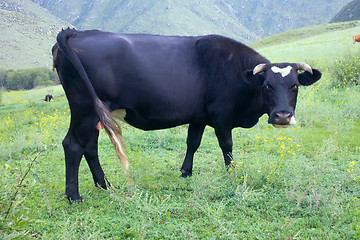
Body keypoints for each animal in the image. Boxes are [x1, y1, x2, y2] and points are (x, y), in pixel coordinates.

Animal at [52, 28, 322, 202]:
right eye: (267, 86)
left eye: (294, 86)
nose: (282, 116)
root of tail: (76, 32)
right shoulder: (221, 116)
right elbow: (227, 145)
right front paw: (232, 174)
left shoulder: (198, 117)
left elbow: (193, 142)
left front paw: (185, 172)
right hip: (84, 109)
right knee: (73, 145)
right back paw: (74, 196)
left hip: (94, 114)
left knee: (90, 147)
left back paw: (104, 185)